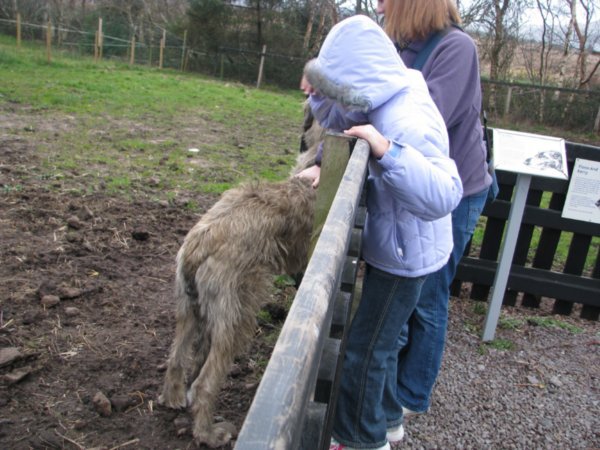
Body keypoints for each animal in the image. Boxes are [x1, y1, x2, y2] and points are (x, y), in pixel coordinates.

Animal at [159, 108, 324, 446]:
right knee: (206, 383)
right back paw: (209, 433)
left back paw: (174, 397)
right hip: (236, 318)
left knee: (177, 358)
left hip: (188, 309)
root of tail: (199, 246)